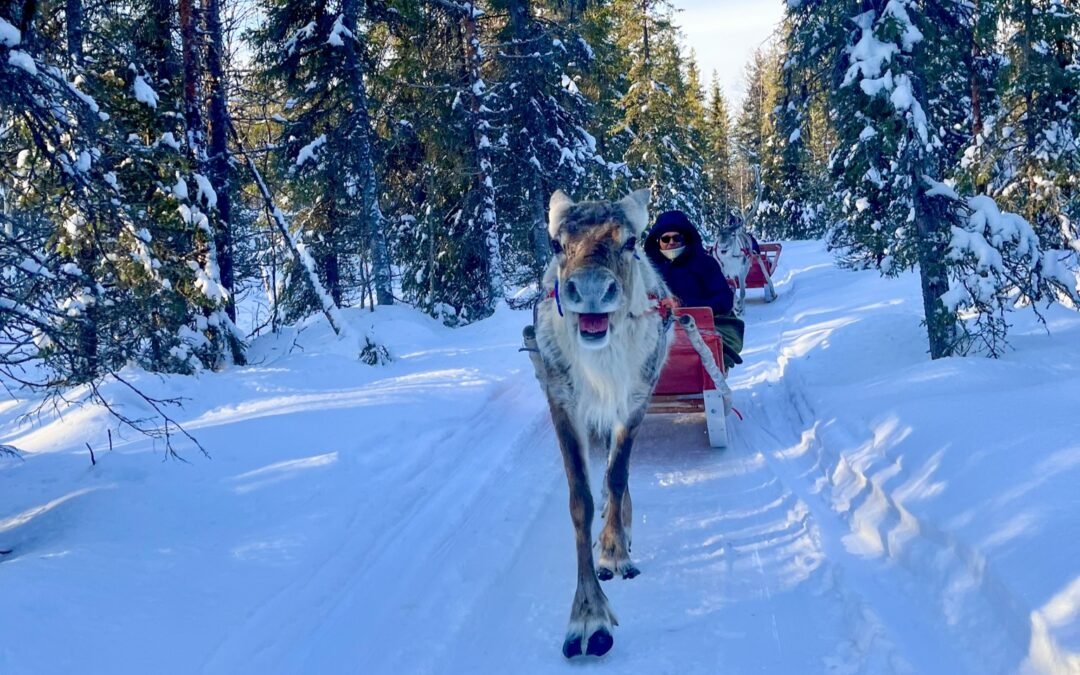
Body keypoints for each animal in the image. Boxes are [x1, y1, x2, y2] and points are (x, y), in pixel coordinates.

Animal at [522, 188, 673, 659]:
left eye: (631, 241)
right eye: (555, 242)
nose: (589, 289)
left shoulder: (635, 401)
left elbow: (618, 475)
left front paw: (613, 551)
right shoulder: (563, 402)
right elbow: (580, 501)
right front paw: (588, 615)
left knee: (614, 474)